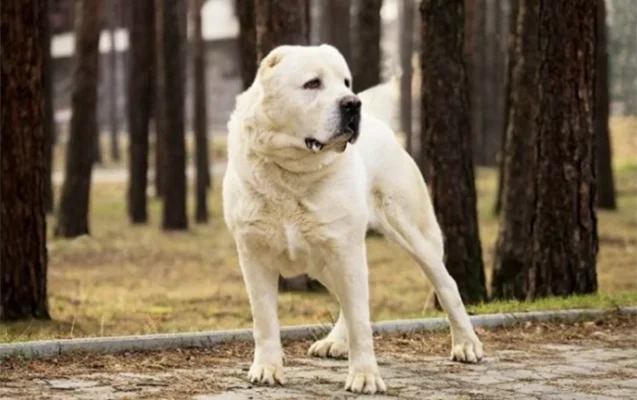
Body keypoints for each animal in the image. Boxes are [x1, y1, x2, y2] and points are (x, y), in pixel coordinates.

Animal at [222, 43, 482, 394]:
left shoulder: (345, 250)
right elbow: (264, 319)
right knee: (347, 301)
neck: (293, 174)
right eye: (313, 84)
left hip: (412, 233)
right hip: (324, 260)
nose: (352, 103)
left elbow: (360, 320)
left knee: (446, 285)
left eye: (345, 82)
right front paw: (266, 369)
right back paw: (334, 342)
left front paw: (365, 376)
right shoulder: (254, 254)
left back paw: (467, 344)